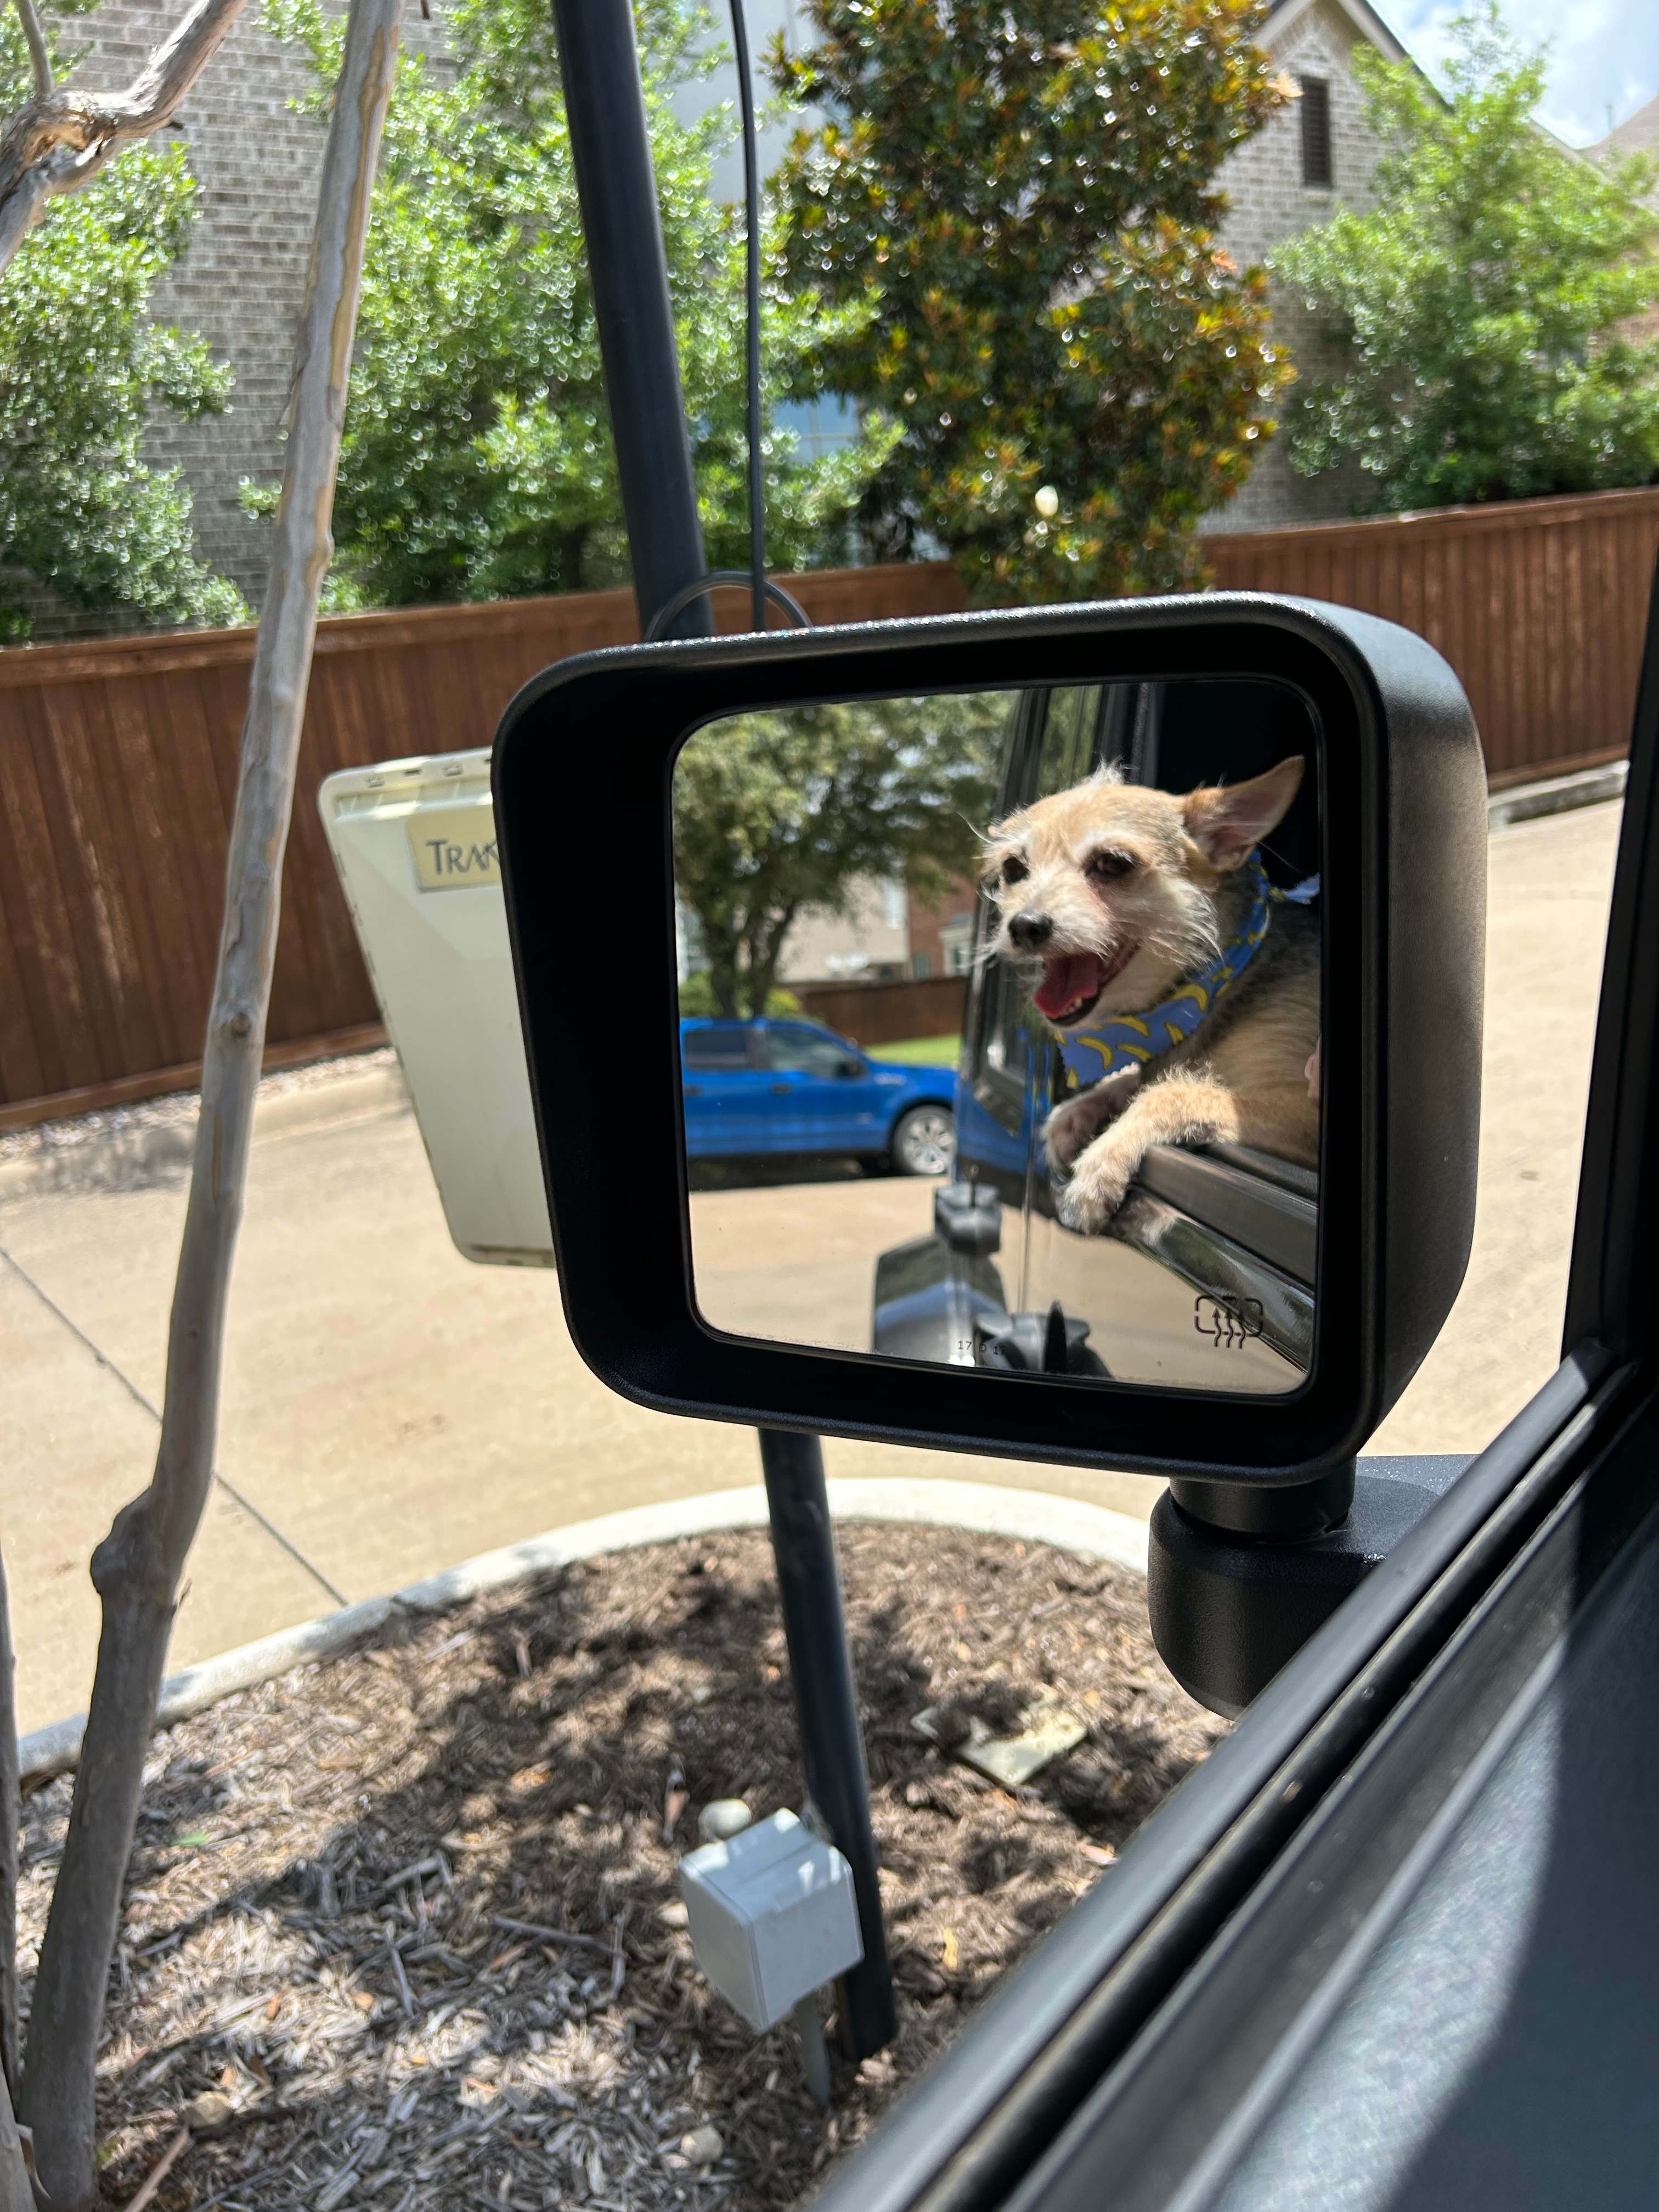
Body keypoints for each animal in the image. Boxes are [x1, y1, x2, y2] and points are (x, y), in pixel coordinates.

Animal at [986, 761, 1327, 1238]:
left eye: (1113, 864)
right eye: (1014, 868)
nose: (1023, 925)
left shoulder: (1303, 1110)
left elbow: (1171, 1092)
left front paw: (1100, 1166)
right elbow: (1136, 1080)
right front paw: (1075, 1114)